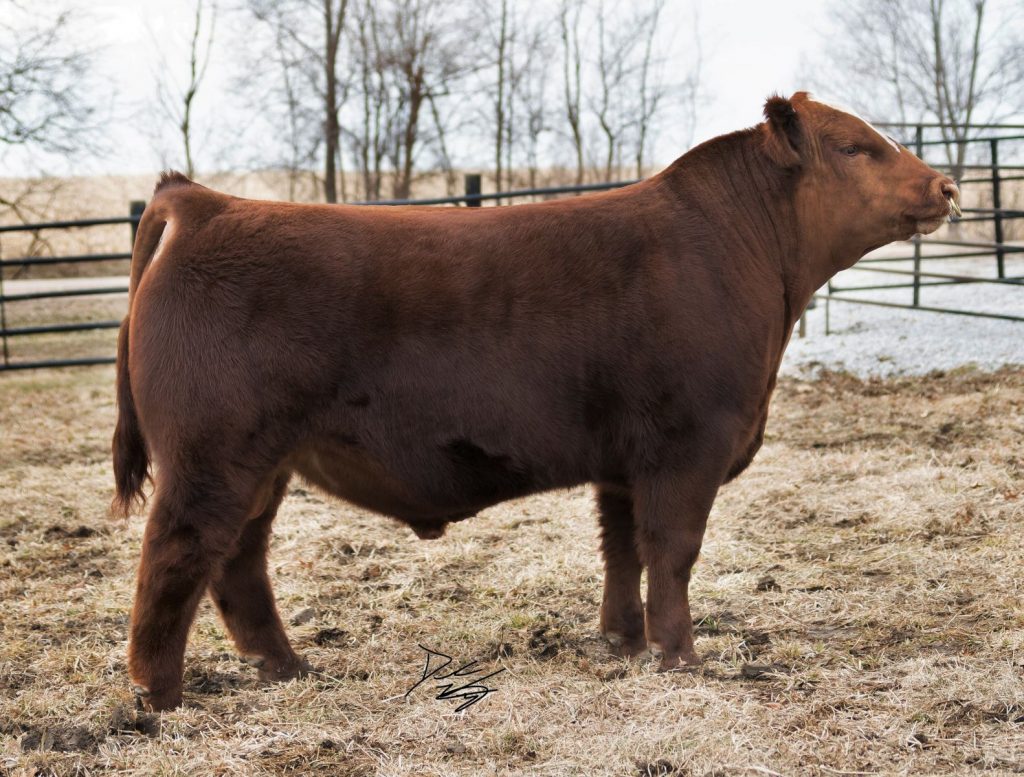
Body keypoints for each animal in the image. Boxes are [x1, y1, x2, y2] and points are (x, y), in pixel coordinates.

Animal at [112, 92, 959, 711]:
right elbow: (673, 551)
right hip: (213, 454)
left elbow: (622, 549)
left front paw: (623, 642)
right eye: (853, 145)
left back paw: (288, 668)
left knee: (238, 561)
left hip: (265, 461)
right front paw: (680, 657)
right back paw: (162, 695)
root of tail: (204, 201)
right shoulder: (687, 446)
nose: (946, 184)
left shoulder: (624, 461)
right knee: (178, 554)